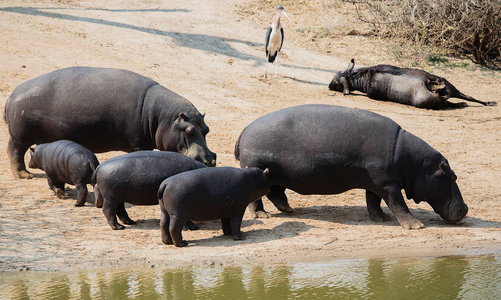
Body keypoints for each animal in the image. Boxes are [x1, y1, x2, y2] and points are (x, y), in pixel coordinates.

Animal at [4, 66, 215, 178]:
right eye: (188, 130)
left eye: (207, 129)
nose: (209, 160)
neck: (164, 118)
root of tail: (12, 95)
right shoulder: (139, 144)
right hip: (20, 136)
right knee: (14, 151)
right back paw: (23, 175)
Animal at [234, 104, 468, 229]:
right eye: (453, 177)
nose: (466, 209)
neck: (415, 164)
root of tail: (244, 129)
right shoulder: (389, 184)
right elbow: (398, 203)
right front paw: (416, 226)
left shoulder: (378, 182)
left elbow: (373, 201)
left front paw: (381, 219)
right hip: (257, 170)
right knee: (258, 197)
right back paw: (262, 216)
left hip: (278, 174)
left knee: (276, 193)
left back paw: (289, 209)